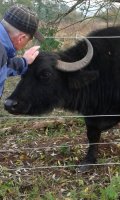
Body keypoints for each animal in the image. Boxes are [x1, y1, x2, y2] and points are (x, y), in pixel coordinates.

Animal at [4, 25, 120, 171]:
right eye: (23, 74)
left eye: (46, 74)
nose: (9, 104)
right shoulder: (90, 116)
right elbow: (92, 135)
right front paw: (88, 161)